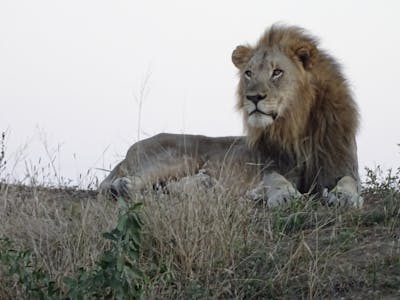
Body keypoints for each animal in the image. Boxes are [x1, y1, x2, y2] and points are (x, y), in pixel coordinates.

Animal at [99, 24, 362, 207]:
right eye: (248, 73)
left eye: (277, 72)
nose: (253, 97)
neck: (297, 127)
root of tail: (129, 151)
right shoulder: (268, 166)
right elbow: (275, 178)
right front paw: (283, 196)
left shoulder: (342, 166)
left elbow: (350, 183)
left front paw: (344, 197)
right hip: (180, 157)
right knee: (124, 185)